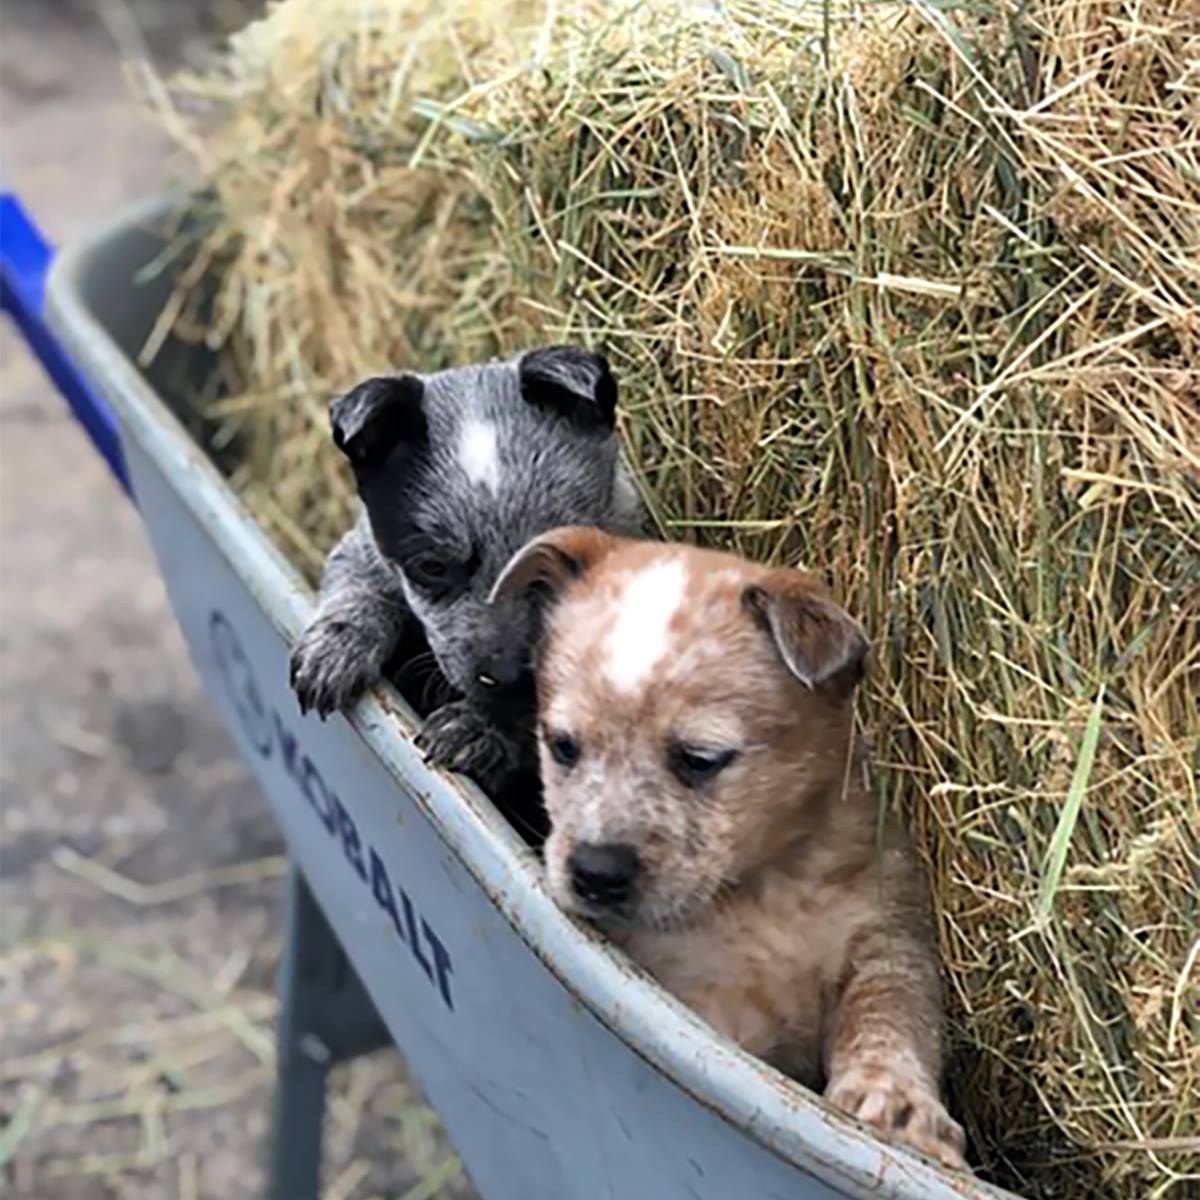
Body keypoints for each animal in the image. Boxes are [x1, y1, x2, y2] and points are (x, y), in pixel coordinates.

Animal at [289, 348, 644, 823]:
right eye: (432, 567)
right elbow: (357, 585)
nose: (507, 677)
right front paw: (335, 648)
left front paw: (480, 727)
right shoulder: (362, 548)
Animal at [490, 527, 968, 1169]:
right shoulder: (700, 1003)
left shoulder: (886, 935)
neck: (757, 894)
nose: (595, 871)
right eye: (562, 745)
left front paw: (897, 1111)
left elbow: (889, 1022)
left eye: (699, 759)